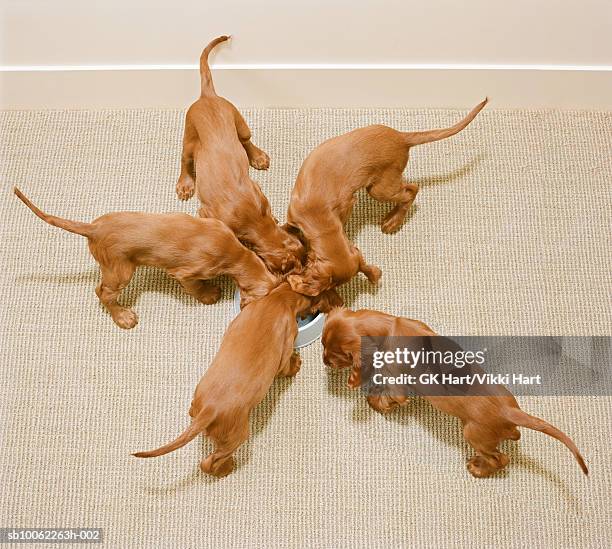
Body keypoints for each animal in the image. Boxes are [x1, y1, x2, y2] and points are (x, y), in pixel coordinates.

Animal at [14, 186, 278, 328]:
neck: (234, 253)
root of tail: (93, 228)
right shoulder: (185, 273)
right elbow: (195, 287)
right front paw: (208, 295)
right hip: (121, 270)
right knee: (102, 292)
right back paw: (122, 317)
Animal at [131, 282, 340, 476]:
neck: (278, 299)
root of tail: (208, 410)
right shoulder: (287, 343)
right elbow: (286, 365)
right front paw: (295, 365)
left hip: (199, 399)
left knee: (192, 414)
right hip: (236, 436)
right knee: (208, 463)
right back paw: (226, 468)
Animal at [176, 35, 304, 272]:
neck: (253, 218)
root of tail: (208, 96)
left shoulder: (257, 192)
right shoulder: (209, 214)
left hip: (239, 121)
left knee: (245, 140)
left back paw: (258, 157)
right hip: (189, 136)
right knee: (185, 160)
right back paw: (185, 185)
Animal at [286, 98, 488, 296]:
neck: (323, 222)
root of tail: (402, 137)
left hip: (380, 188)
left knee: (412, 189)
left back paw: (393, 221)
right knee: (411, 186)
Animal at [320, 306, 588, 478]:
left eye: (335, 355)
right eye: (322, 344)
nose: (323, 361)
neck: (390, 327)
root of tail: (508, 410)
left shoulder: (398, 384)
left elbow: (388, 396)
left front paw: (374, 401)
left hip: (473, 434)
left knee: (501, 459)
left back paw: (478, 468)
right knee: (515, 435)